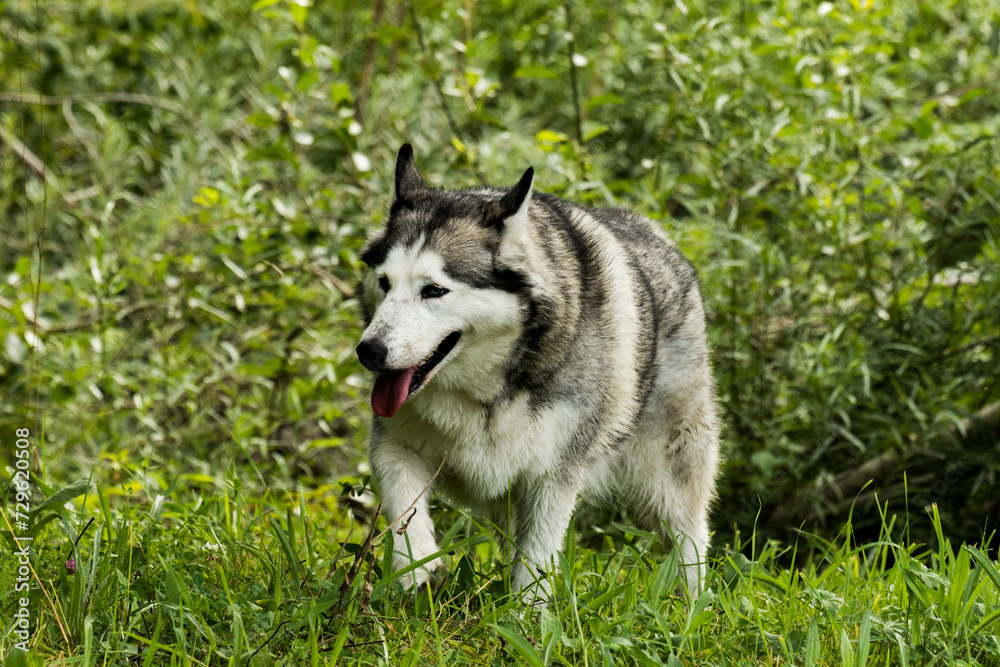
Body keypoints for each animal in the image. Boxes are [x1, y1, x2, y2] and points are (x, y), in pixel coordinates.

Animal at [356, 144, 716, 596]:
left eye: (434, 290)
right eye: (385, 283)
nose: (368, 351)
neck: (486, 398)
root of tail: (658, 234)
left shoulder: (553, 477)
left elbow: (536, 565)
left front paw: (525, 614)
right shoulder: (395, 448)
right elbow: (408, 523)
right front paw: (414, 581)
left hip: (670, 481)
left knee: (691, 544)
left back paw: (692, 606)